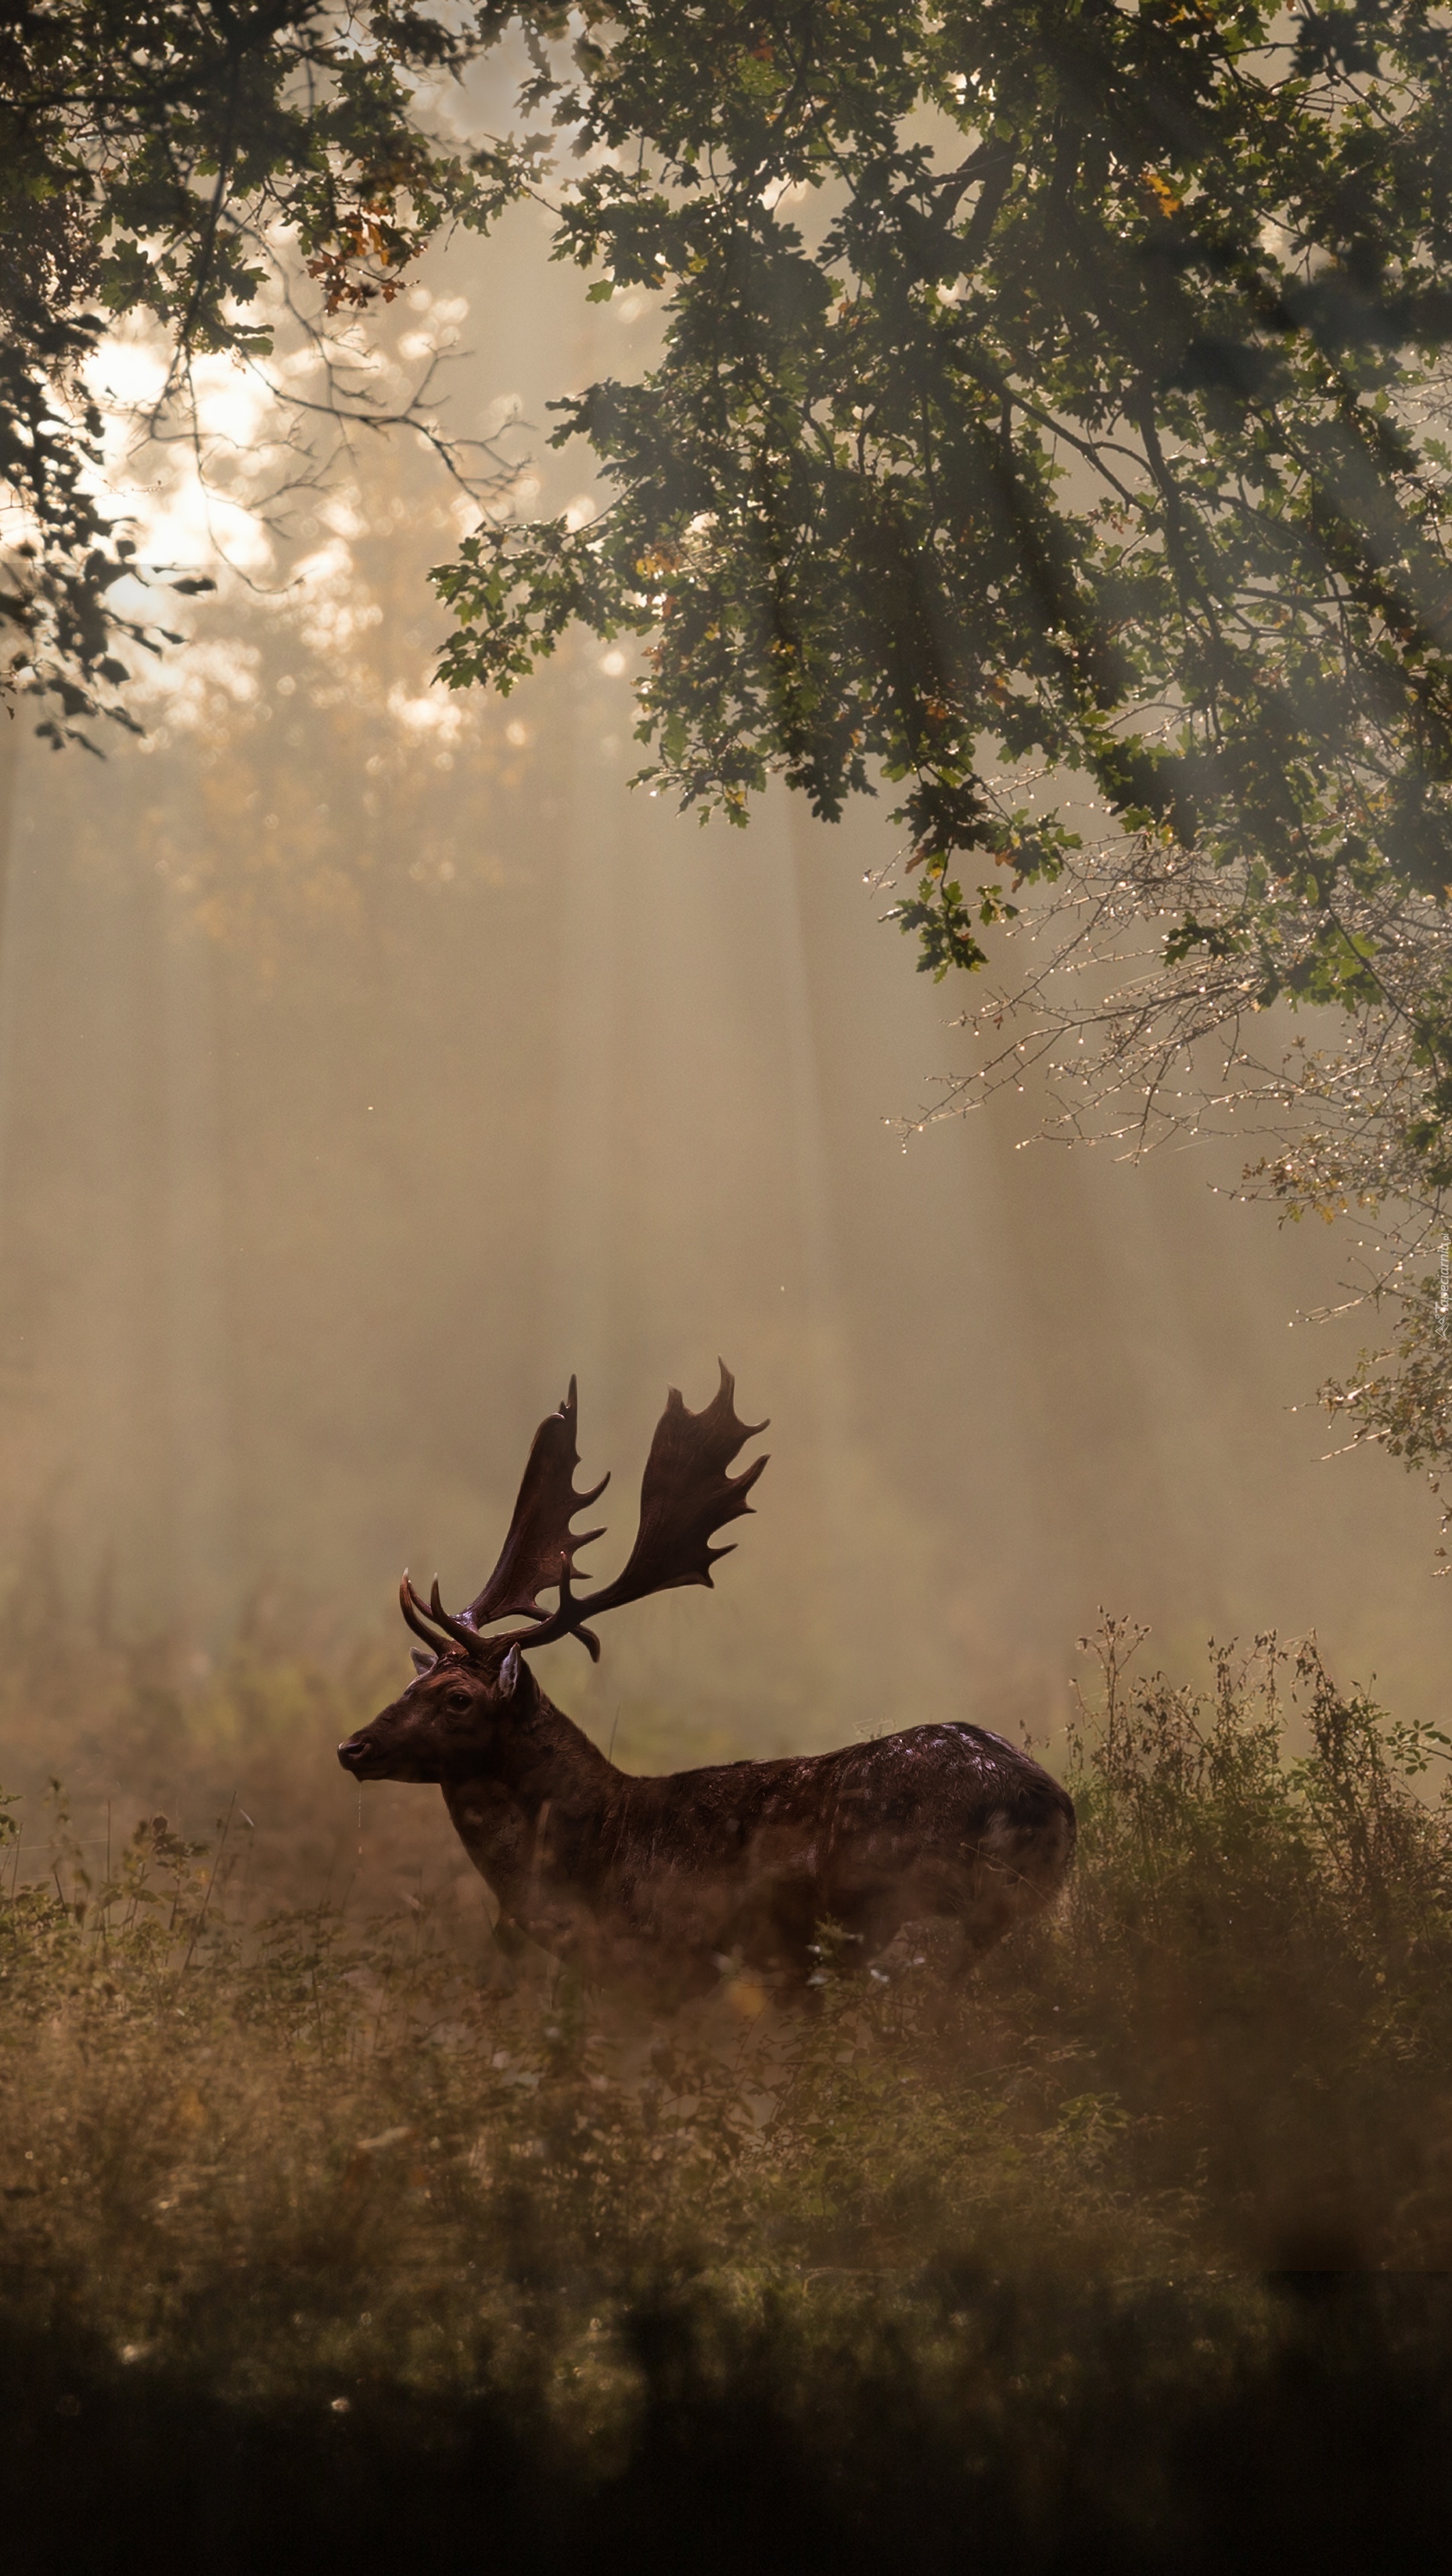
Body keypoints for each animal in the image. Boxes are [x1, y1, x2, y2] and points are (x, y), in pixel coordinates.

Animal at [334, 1370, 1071, 1988]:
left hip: (920, 1914)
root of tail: (1052, 1805)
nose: (351, 1746)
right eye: (411, 1685)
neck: (595, 1857)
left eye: (458, 1698)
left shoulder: (674, 1967)